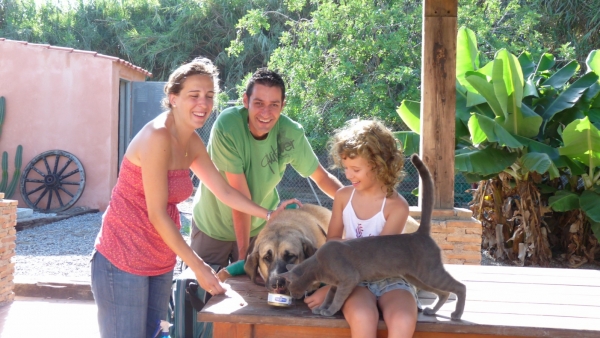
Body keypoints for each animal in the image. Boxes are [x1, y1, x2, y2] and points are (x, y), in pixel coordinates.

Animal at [278, 154, 466, 320]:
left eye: (289, 285)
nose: (292, 296)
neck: (318, 266)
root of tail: (420, 233)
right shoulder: (336, 283)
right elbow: (329, 295)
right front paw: (322, 307)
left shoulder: (348, 279)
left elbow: (337, 299)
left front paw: (329, 311)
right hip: (418, 277)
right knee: (444, 292)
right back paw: (432, 311)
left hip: (430, 272)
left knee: (460, 286)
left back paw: (456, 314)